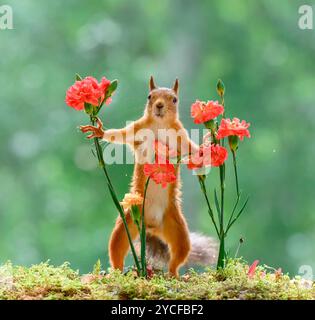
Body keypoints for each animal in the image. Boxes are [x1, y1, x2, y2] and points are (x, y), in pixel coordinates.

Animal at [80, 76, 217, 276]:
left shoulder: (181, 138)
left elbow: (193, 151)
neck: (160, 125)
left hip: (176, 228)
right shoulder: (137, 129)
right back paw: (116, 273)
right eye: (149, 96)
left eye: (174, 99)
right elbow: (120, 135)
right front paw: (100, 131)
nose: (159, 105)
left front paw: (207, 145)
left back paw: (174, 275)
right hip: (128, 223)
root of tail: (151, 227)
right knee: (117, 248)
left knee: (178, 255)